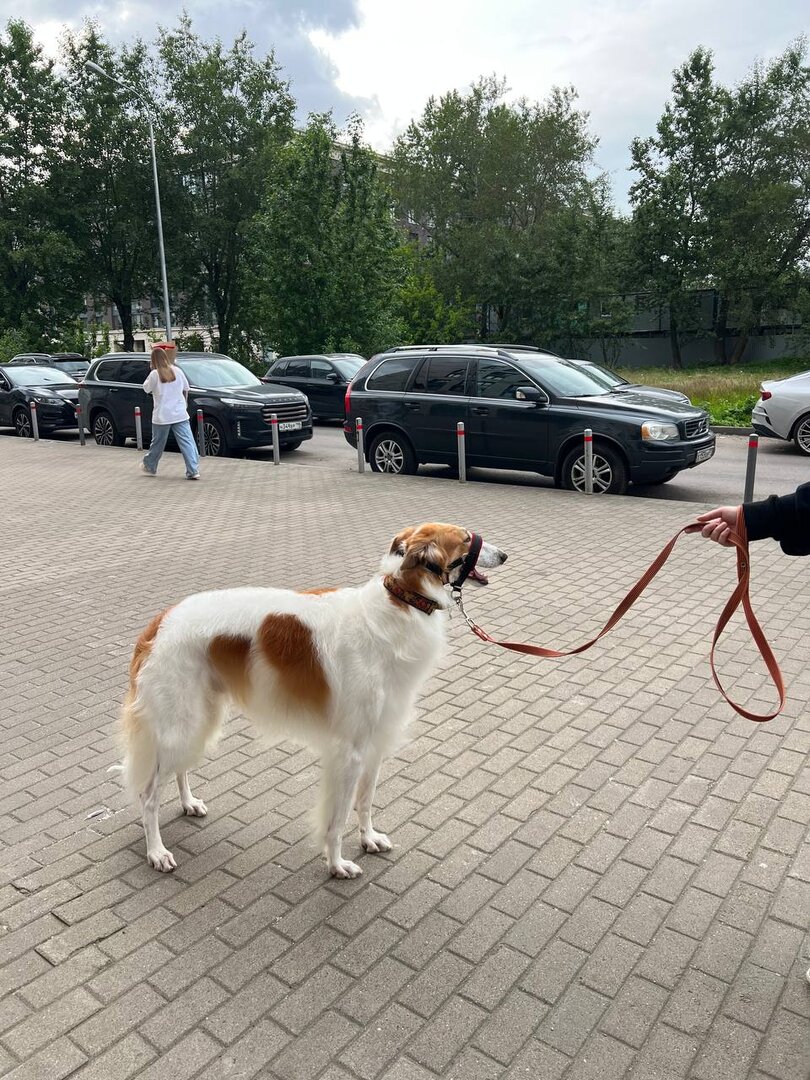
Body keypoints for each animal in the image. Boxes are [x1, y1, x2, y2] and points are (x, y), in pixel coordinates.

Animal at [118, 523, 507, 878]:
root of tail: (160, 621)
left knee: (179, 769)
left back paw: (188, 804)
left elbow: (365, 802)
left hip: (198, 718)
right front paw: (337, 864)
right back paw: (156, 852)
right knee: (148, 796)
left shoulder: (374, 742)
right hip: (179, 721)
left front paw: (369, 839)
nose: (504, 555)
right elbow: (337, 819)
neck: (399, 601)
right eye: (466, 538)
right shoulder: (349, 751)